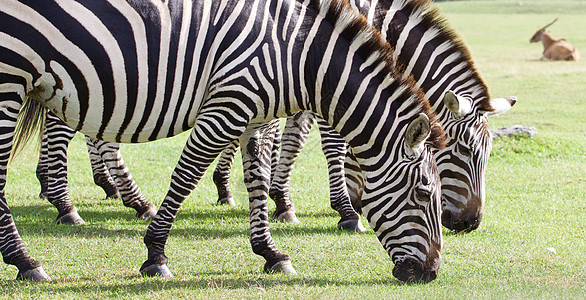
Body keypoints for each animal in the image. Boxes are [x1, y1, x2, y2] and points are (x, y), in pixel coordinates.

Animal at [0, 0, 444, 282]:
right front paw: (155, 254)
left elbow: (258, 180)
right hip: (11, 79)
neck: (298, 55)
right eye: (424, 194)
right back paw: (28, 258)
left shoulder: (253, 116)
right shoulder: (227, 104)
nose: (430, 274)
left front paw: (271, 252)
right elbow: (186, 176)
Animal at [212, 0, 512, 233]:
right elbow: (335, 146)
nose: (470, 224)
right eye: (465, 150)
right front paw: (346, 211)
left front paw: (283, 201)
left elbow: (295, 142)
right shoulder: (328, 87)